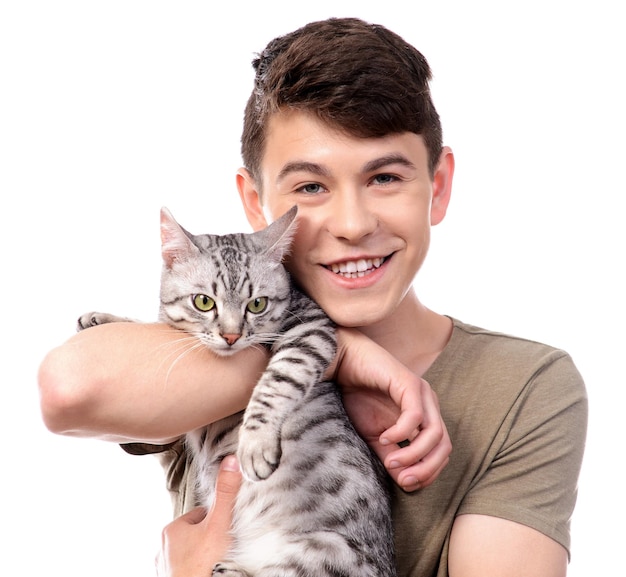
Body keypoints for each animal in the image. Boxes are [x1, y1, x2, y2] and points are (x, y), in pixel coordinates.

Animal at [75, 207, 392, 576]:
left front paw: (255, 445)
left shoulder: (311, 329)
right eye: (203, 302)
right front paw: (102, 319)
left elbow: (278, 380)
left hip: (325, 550)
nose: (230, 336)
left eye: (256, 305)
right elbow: (159, 326)